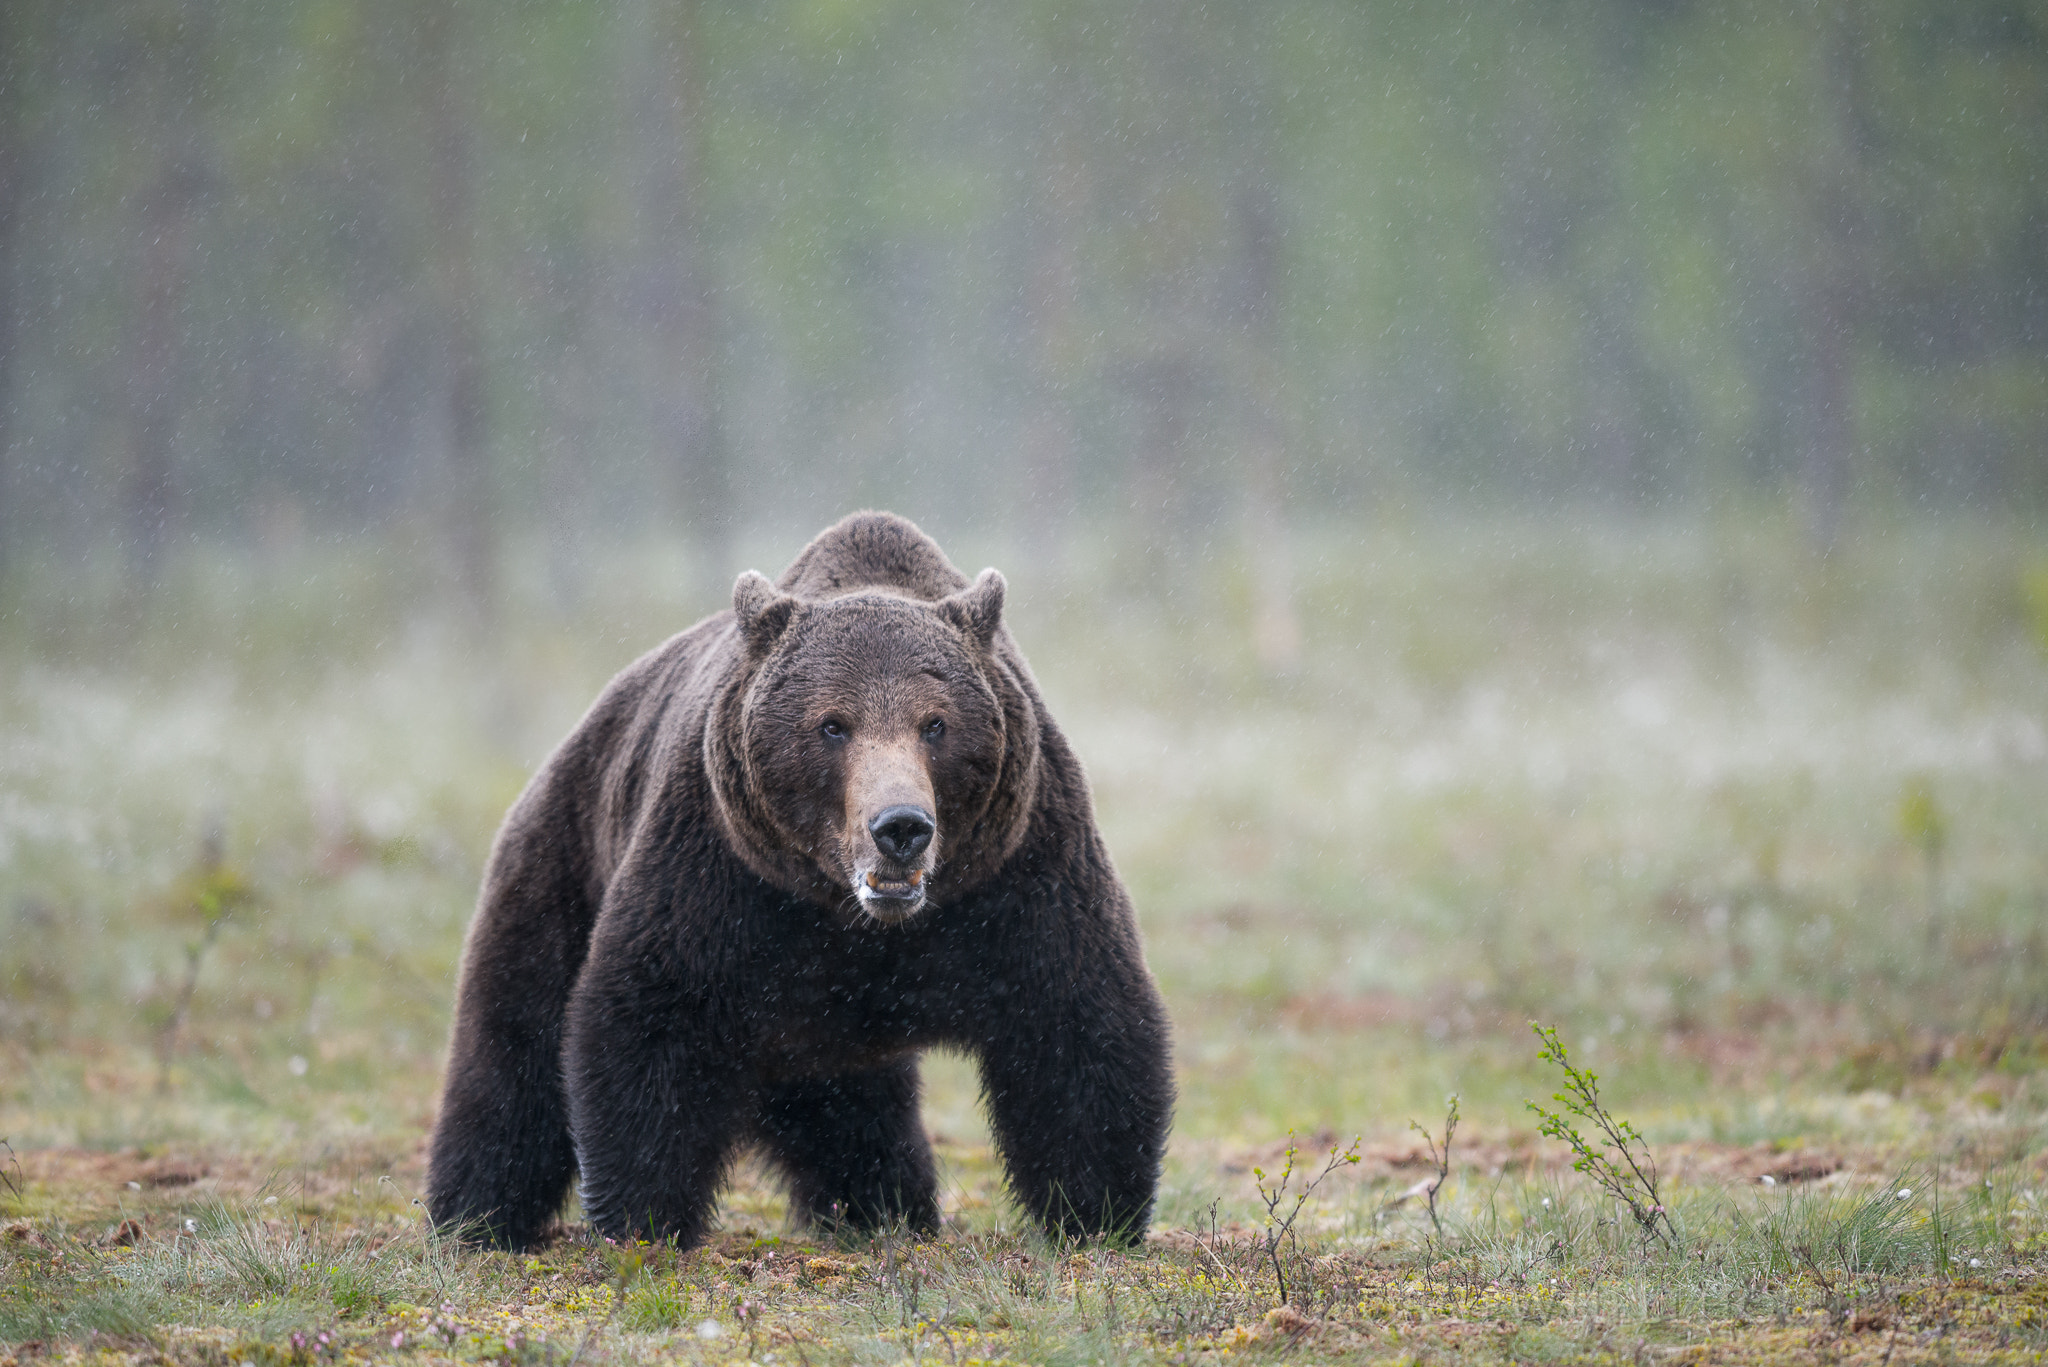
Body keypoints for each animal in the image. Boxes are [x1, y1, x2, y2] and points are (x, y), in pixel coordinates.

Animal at [425, 511, 1173, 1250]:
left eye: (935, 723)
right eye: (832, 724)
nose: (901, 826)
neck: (851, 914)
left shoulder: (1018, 873)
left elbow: (1074, 1021)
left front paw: (1098, 1213)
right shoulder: (720, 879)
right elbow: (650, 1022)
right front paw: (644, 1219)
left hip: (824, 1034)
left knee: (851, 1116)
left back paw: (882, 1211)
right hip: (559, 866)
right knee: (510, 1052)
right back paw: (474, 1216)